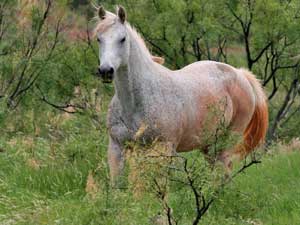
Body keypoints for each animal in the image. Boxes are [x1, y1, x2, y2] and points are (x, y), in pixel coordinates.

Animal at [94, 5, 268, 183]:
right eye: (99, 39)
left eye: (122, 39)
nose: (106, 71)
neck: (134, 103)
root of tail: (240, 74)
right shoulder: (116, 148)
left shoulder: (163, 148)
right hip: (208, 145)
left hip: (224, 142)